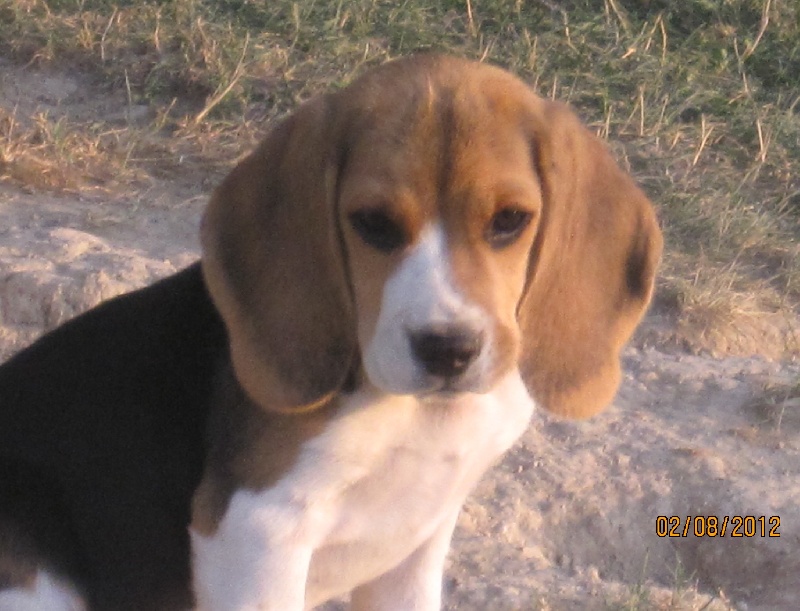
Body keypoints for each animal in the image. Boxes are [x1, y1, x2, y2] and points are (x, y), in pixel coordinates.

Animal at [0, 54, 662, 610]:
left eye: (510, 221)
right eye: (372, 223)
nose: (448, 349)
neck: (416, 415)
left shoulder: (417, 545)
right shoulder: (256, 532)